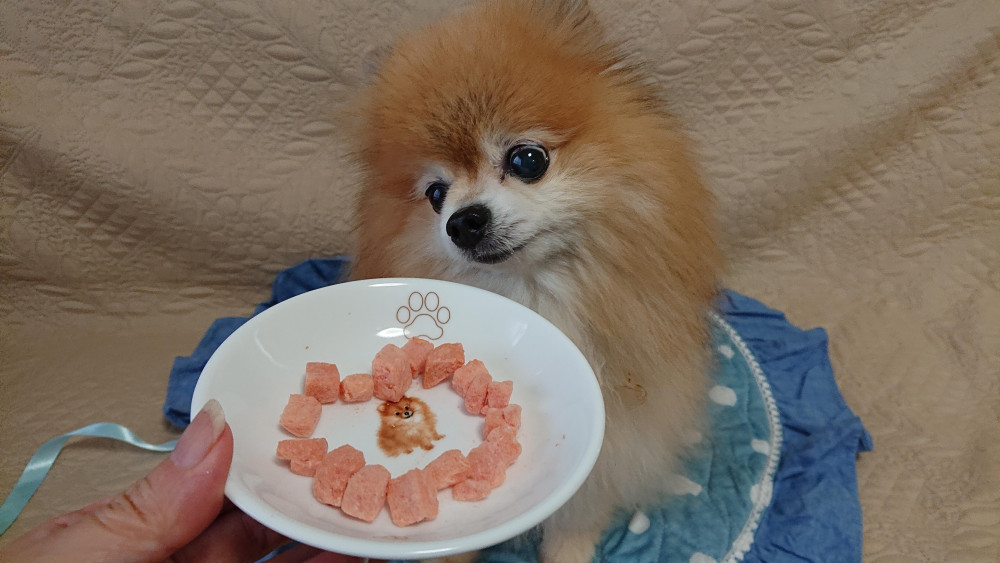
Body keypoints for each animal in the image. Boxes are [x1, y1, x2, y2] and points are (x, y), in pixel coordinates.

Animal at [350, 1, 720, 563]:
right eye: (435, 194)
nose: (462, 222)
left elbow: (578, 513)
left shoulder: (616, 441)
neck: (534, 297)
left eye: (527, 159)